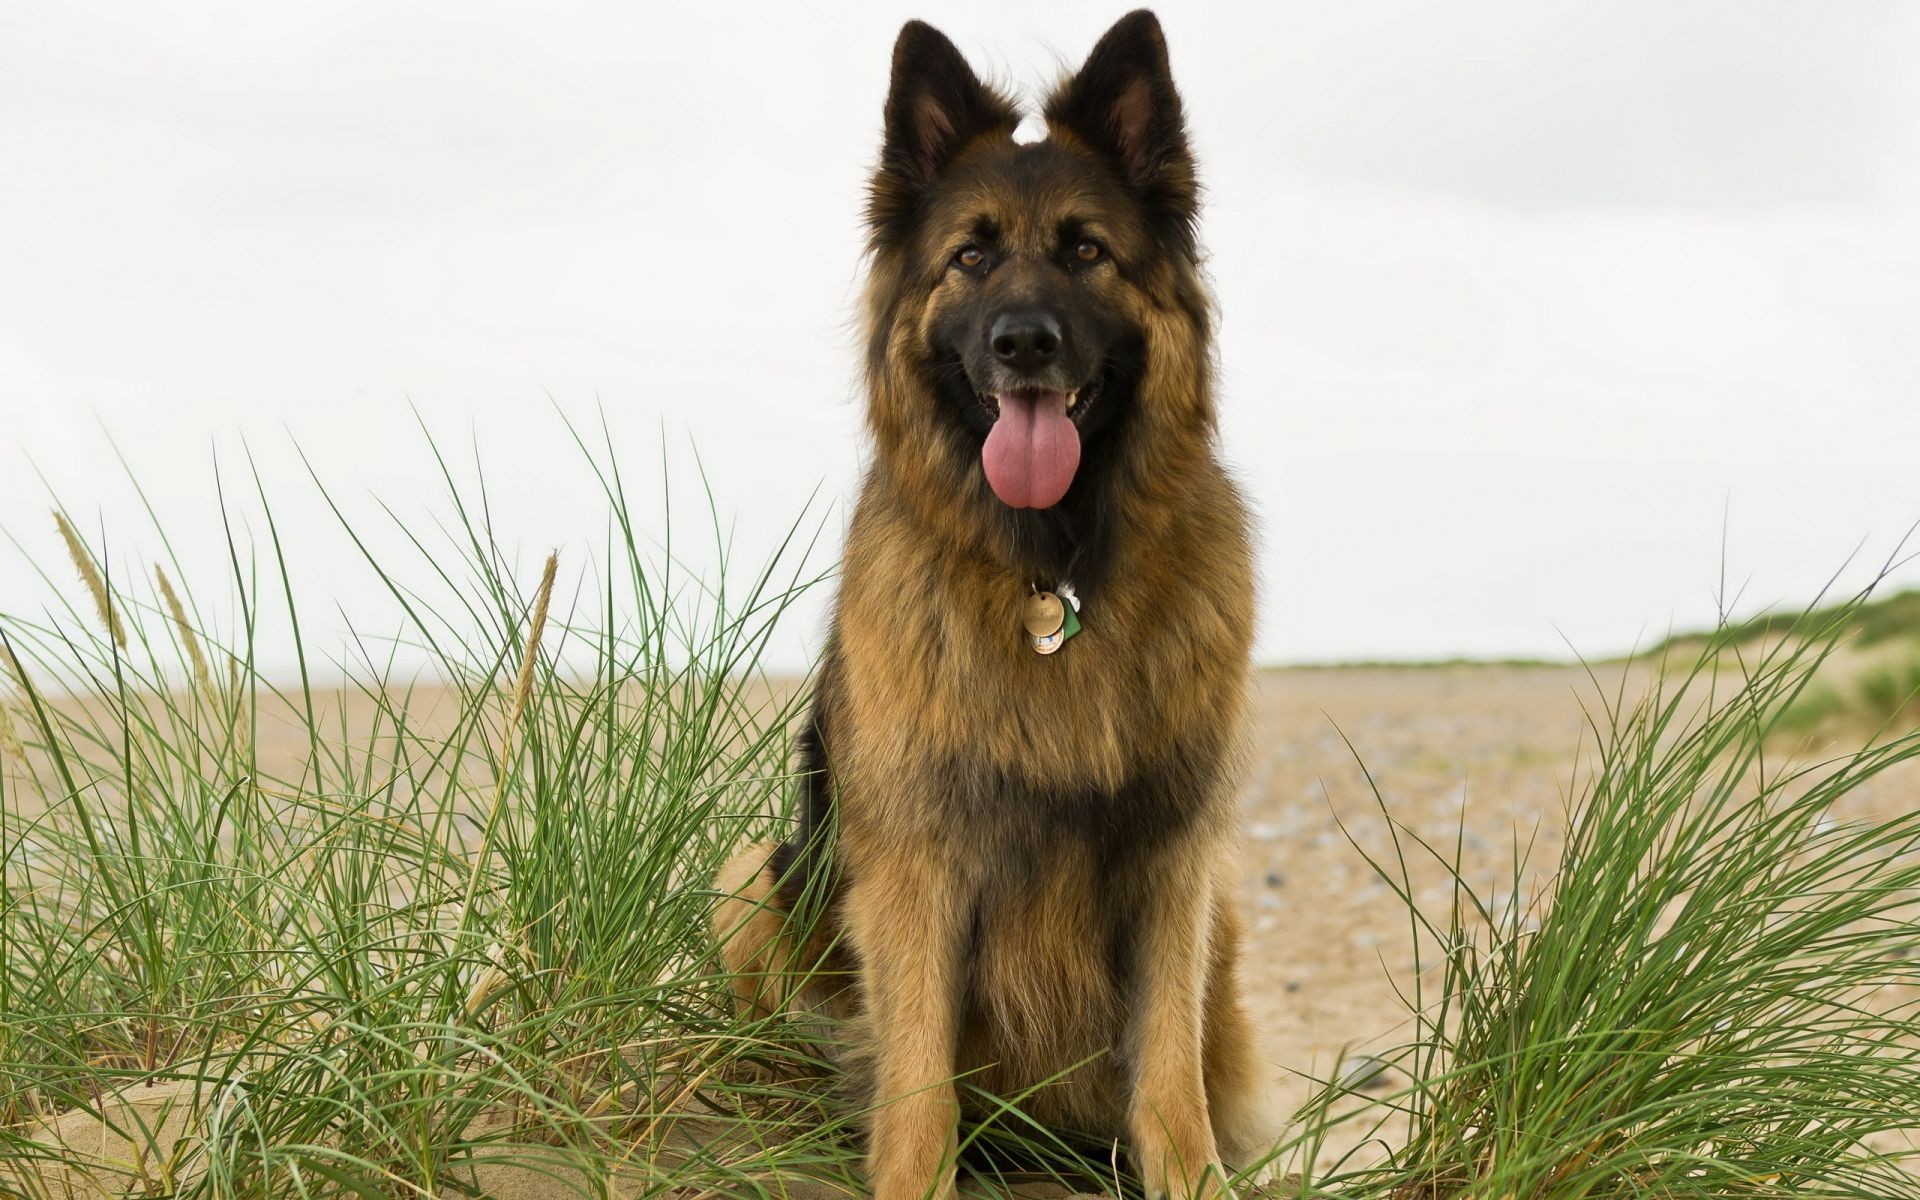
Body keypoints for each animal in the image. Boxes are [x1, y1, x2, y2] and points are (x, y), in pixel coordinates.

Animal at [710, 11, 1274, 1198]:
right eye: (970, 255)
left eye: (1086, 251)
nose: (1024, 343)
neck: (1050, 578)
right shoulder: (916, 863)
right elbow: (918, 1073)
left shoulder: (1174, 860)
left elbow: (1168, 1068)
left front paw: (1192, 1174)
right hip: (754, 881)